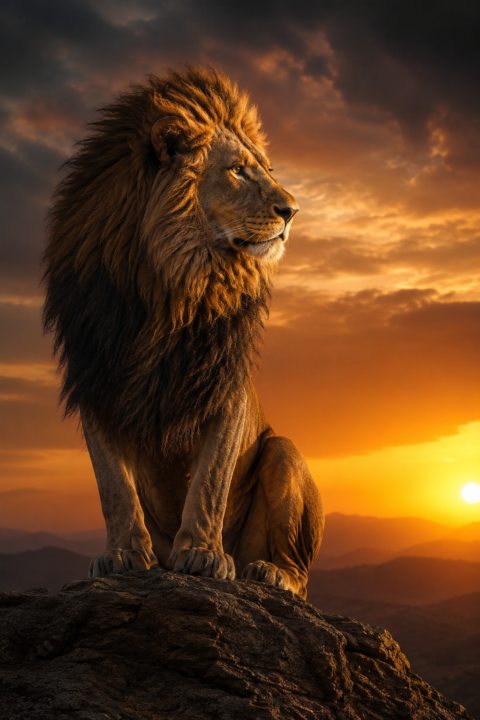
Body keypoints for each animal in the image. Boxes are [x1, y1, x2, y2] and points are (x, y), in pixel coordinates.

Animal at [43, 66, 324, 599]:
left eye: (265, 169)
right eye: (237, 170)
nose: (293, 211)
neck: (170, 286)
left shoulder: (223, 385)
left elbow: (210, 478)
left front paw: (203, 555)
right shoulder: (96, 378)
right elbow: (113, 485)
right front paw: (122, 556)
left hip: (283, 451)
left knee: (298, 576)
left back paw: (266, 571)